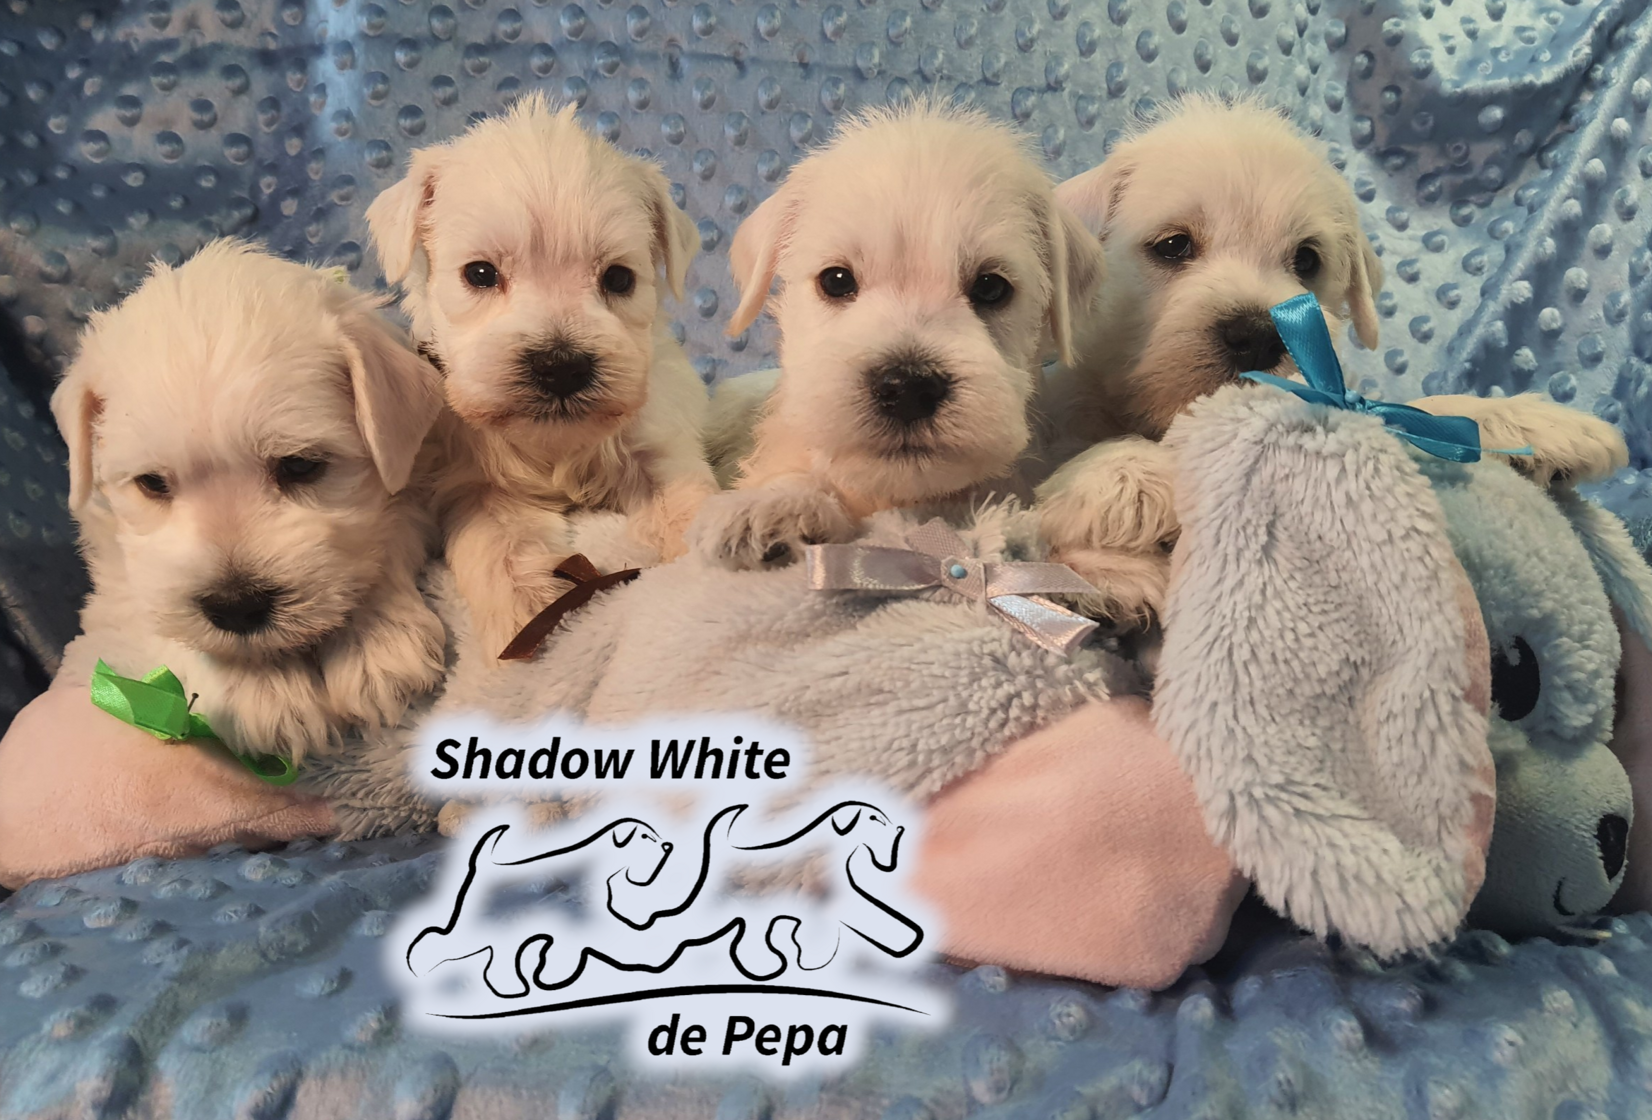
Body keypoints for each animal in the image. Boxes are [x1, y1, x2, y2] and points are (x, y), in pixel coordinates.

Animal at [51, 240, 447, 762]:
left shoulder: (412, 483)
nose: (236, 607)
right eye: (152, 483)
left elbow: (379, 546)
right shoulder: (117, 583)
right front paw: (259, 687)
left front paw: (376, 643)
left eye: (300, 466)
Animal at [366, 92, 720, 654]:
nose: (560, 368)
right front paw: (528, 605)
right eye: (480, 273)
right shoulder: (475, 484)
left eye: (619, 278)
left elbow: (686, 502)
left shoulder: (659, 448)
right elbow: (499, 547)